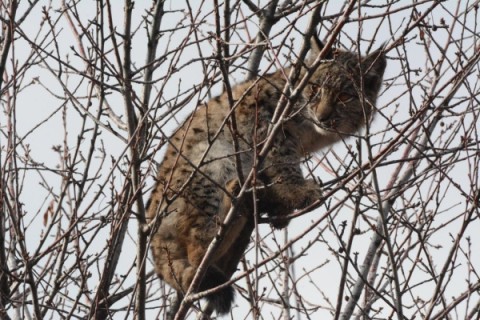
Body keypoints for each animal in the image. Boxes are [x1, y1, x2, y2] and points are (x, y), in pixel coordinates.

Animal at [145, 34, 386, 316]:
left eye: (345, 96)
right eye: (315, 89)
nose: (323, 116)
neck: (311, 130)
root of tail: (151, 235)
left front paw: (282, 207)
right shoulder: (270, 127)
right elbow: (284, 163)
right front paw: (300, 192)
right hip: (213, 160)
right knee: (197, 250)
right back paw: (234, 202)